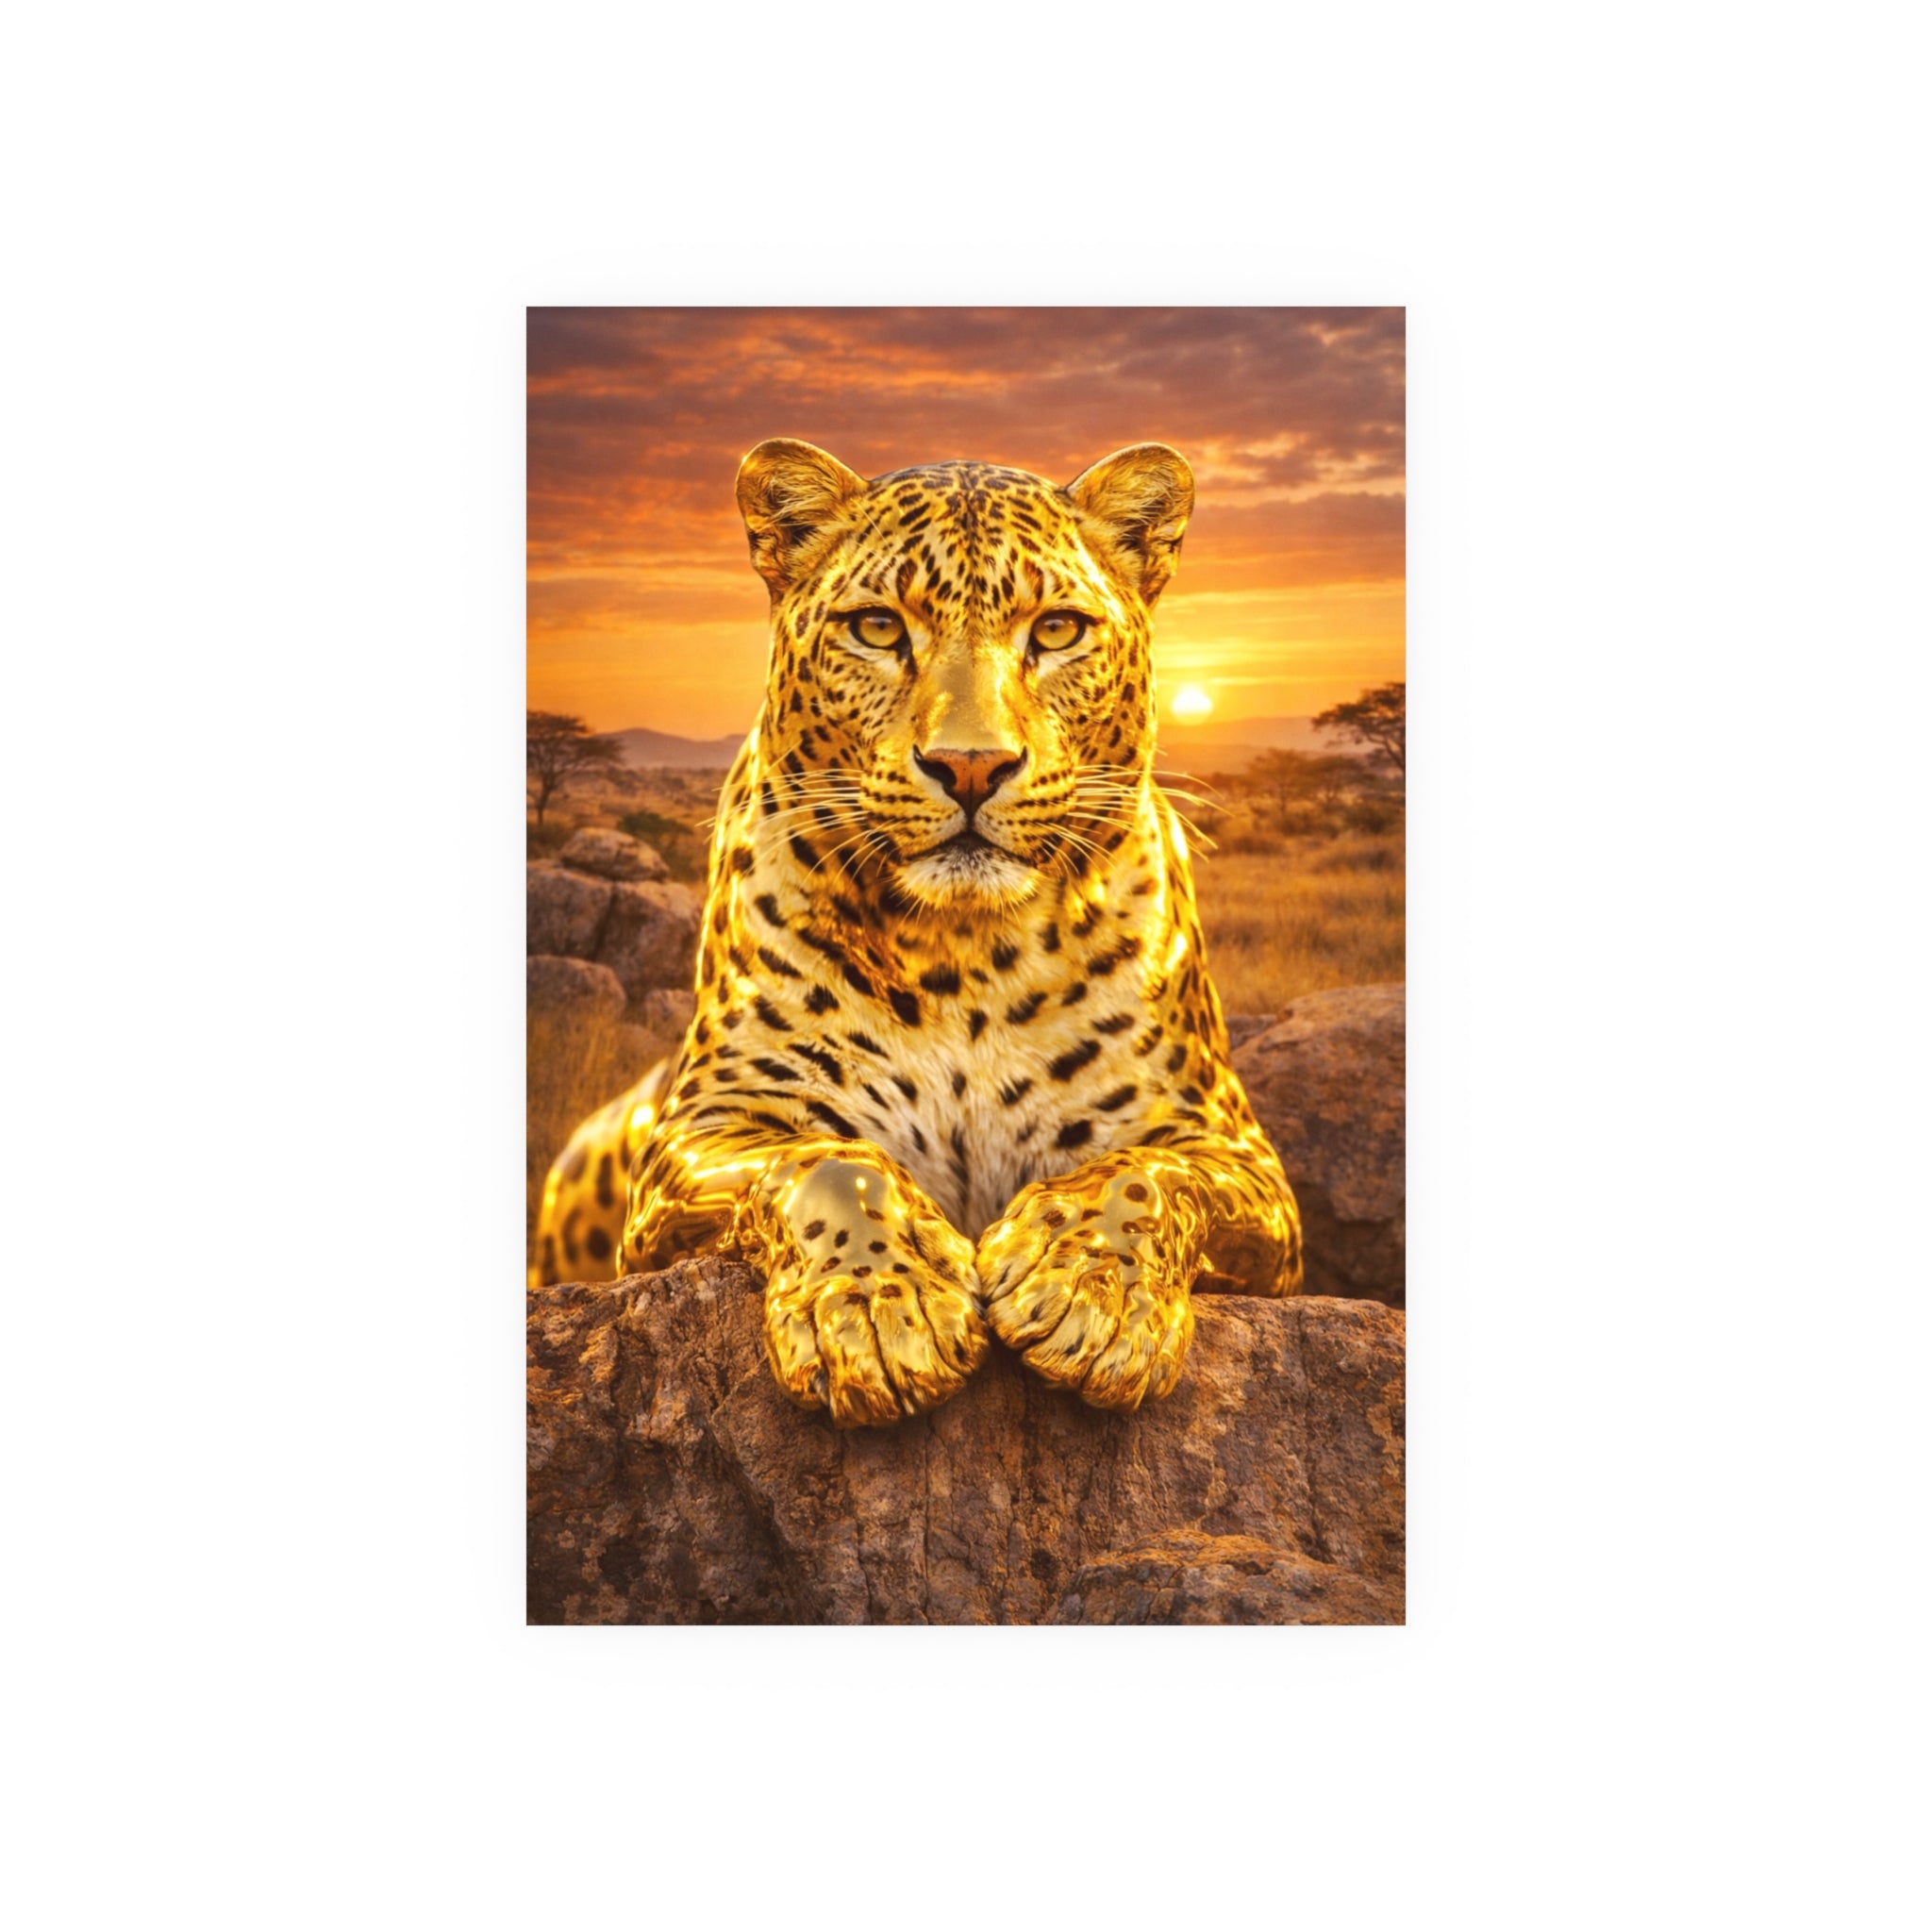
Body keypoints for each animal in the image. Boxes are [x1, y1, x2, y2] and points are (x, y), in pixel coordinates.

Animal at [533, 437, 1302, 1427]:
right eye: (876, 628)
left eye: (1057, 631)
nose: (970, 765)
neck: (965, 956)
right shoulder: (706, 1126)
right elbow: (826, 1158)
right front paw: (877, 1310)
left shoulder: (1227, 1145)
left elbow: (1140, 1174)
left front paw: (1091, 1294)